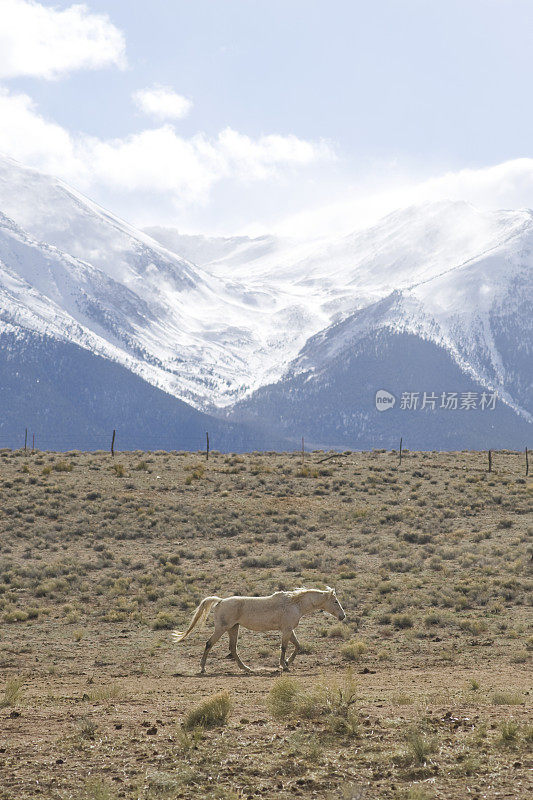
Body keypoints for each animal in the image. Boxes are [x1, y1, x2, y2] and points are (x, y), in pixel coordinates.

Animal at [170, 584, 344, 672]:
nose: (343, 616)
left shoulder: (289, 630)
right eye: (335, 601)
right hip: (221, 628)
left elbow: (297, 646)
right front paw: (283, 665)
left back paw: (246, 668)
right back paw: (203, 668)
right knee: (209, 644)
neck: (295, 603)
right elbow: (284, 647)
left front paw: (287, 663)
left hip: (233, 628)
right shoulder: (286, 630)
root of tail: (220, 601)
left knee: (233, 648)